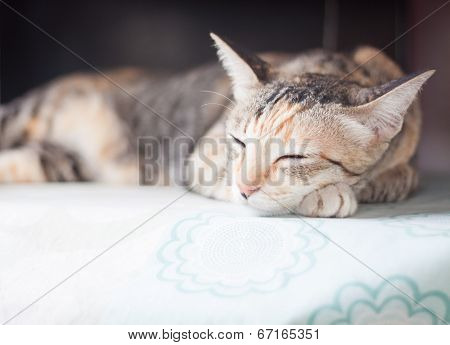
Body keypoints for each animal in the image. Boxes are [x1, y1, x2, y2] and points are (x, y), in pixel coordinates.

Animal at [0, 31, 436, 215]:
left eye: (294, 156)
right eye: (239, 142)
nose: (246, 187)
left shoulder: (409, 160)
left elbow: (394, 179)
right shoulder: (199, 160)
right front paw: (328, 196)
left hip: (60, 161)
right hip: (28, 115)